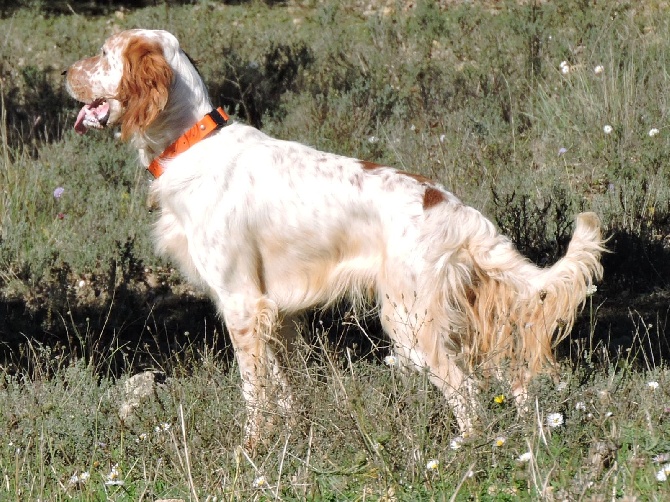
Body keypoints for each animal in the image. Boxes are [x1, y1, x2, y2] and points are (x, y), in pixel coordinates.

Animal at [64, 28, 608, 448]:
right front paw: (286, 438)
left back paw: (468, 450)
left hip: (410, 320)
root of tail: (456, 211)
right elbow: (283, 390)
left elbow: (254, 393)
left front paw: (251, 449)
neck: (191, 143)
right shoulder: (275, 313)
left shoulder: (241, 304)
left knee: (466, 390)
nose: (65, 73)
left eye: (105, 53)